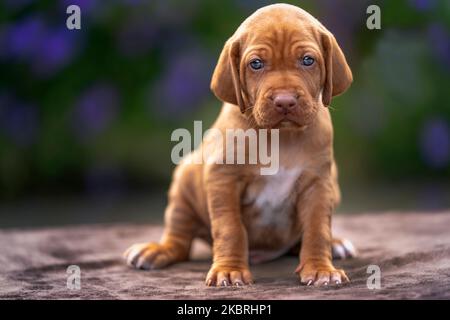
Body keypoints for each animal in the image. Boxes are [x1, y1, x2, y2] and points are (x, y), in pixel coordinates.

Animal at [124, 3, 356, 288]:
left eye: (308, 60)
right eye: (256, 64)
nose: (285, 101)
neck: (280, 137)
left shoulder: (318, 183)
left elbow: (317, 229)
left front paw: (321, 268)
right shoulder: (223, 179)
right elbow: (230, 228)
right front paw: (229, 270)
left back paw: (335, 244)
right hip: (184, 180)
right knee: (179, 238)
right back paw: (157, 250)